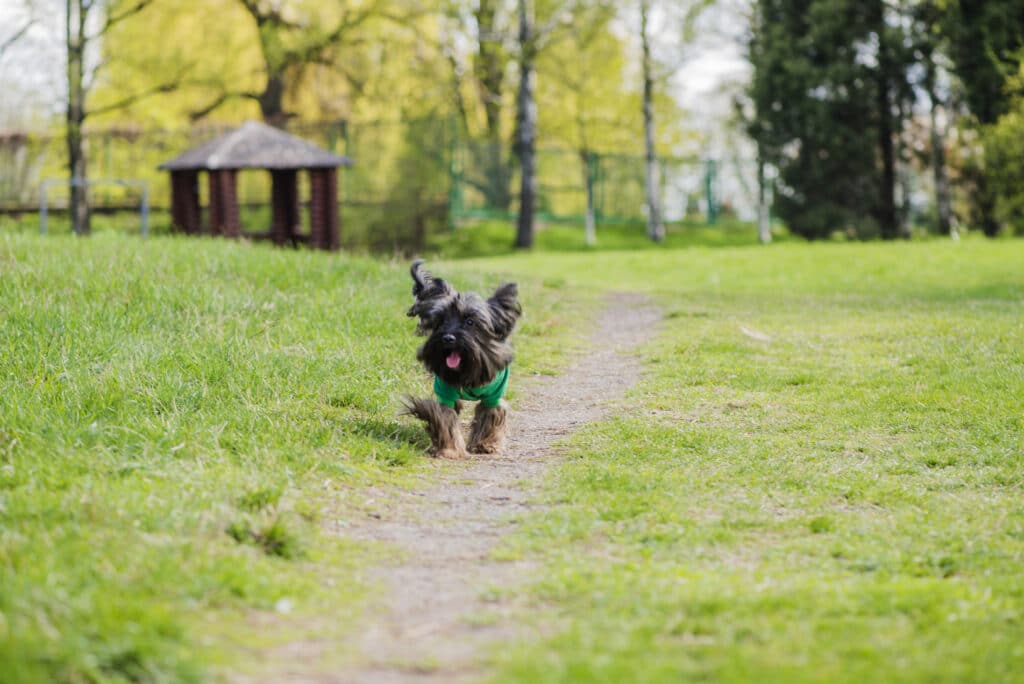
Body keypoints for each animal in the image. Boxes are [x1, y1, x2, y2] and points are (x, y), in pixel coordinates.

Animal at [401, 259, 524, 456]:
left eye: (470, 322)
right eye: (441, 321)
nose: (448, 338)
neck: (468, 370)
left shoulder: (494, 395)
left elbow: (491, 415)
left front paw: (486, 444)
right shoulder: (445, 392)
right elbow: (445, 417)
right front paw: (449, 448)